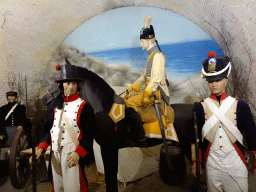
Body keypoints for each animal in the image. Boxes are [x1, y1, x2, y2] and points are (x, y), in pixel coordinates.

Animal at [42, 64, 194, 192]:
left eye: (60, 82)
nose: (44, 98)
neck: (104, 109)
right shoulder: (110, 149)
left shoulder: (108, 148)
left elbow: (111, 176)